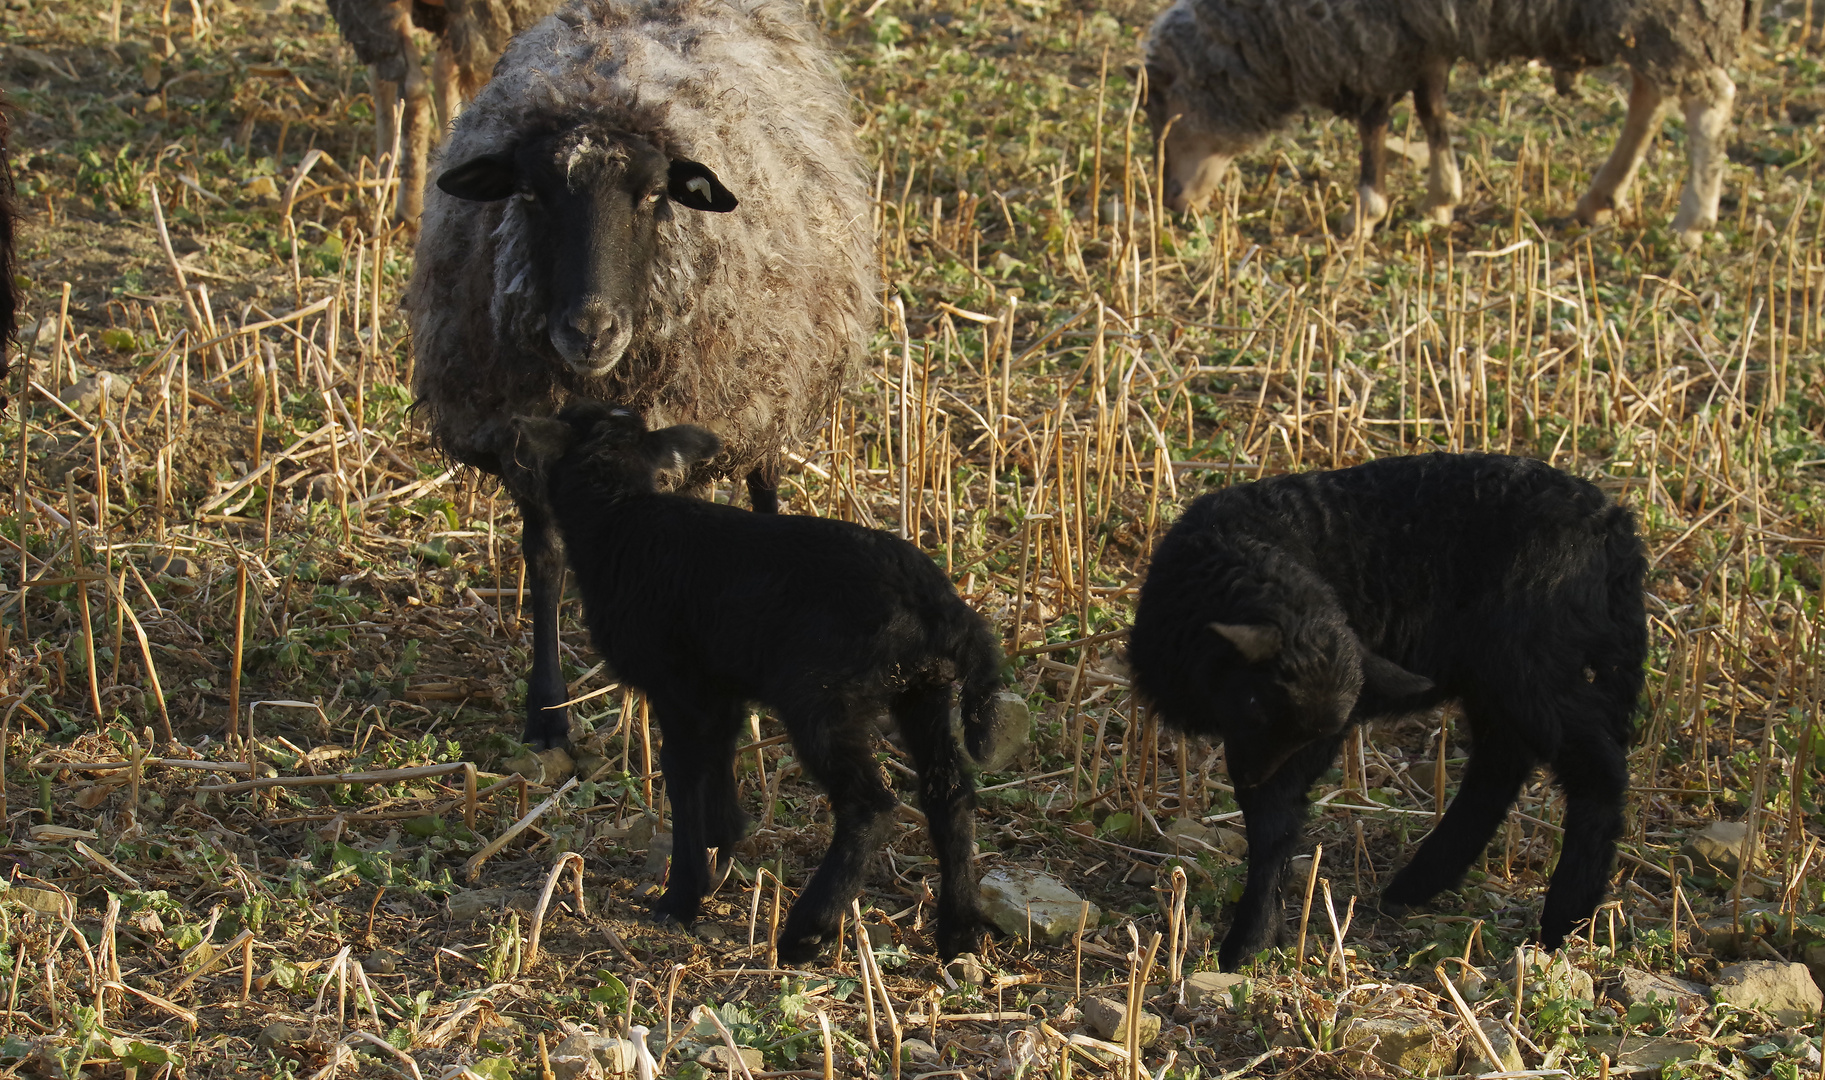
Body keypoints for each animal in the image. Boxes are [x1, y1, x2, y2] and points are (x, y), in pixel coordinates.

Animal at [408, 0, 876, 751]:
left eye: (655, 194)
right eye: (529, 194)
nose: (590, 329)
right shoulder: (522, 441)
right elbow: (544, 560)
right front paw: (547, 715)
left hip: (767, 390)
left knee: (764, 486)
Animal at [507, 405, 1007, 963]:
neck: (621, 517)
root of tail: (946, 611)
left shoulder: (677, 684)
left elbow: (683, 776)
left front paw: (681, 896)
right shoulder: (719, 688)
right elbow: (718, 764)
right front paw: (723, 844)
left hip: (821, 697)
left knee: (870, 806)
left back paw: (806, 931)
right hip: (923, 692)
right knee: (950, 793)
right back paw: (959, 932)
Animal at [1131, 450, 1649, 977]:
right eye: (1256, 704)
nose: (1254, 779)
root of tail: (1615, 527)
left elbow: (1274, 823)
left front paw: (1249, 941)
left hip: (1532, 663)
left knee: (1594, 773)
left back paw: (1565, 918)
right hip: (1502, 675)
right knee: (1501, 764)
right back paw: (1419, 883)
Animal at [1138, 0, 1752, 246]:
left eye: (1165, 103)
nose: (1170, 203)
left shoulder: (1369, 39)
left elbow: (1375, 123)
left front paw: (1364, 212)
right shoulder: (1417, 33)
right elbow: (1431, 105)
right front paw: (1440, 198)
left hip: (1666, 14)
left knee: (1711, 100)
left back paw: (1692, 219)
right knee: (1652, 94)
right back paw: (1599, 198)